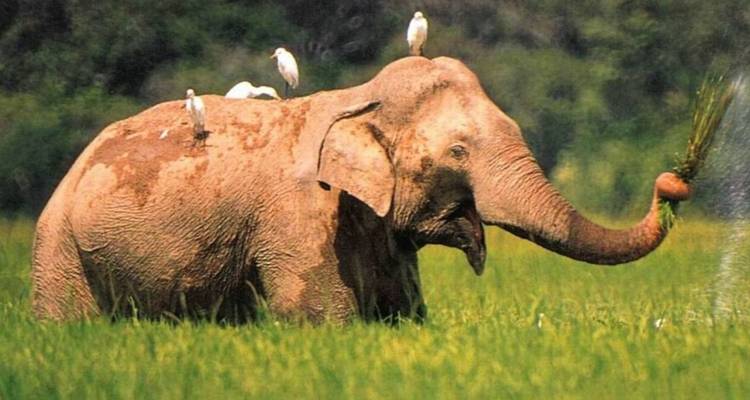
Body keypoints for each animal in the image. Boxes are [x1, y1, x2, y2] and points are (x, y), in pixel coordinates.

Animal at [31, 56, 691, 323]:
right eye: (457, 153)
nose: (672, 184)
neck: (359, 98)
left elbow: (405, 315)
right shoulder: (302, 219)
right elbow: (322, 321)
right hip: (56, 244)